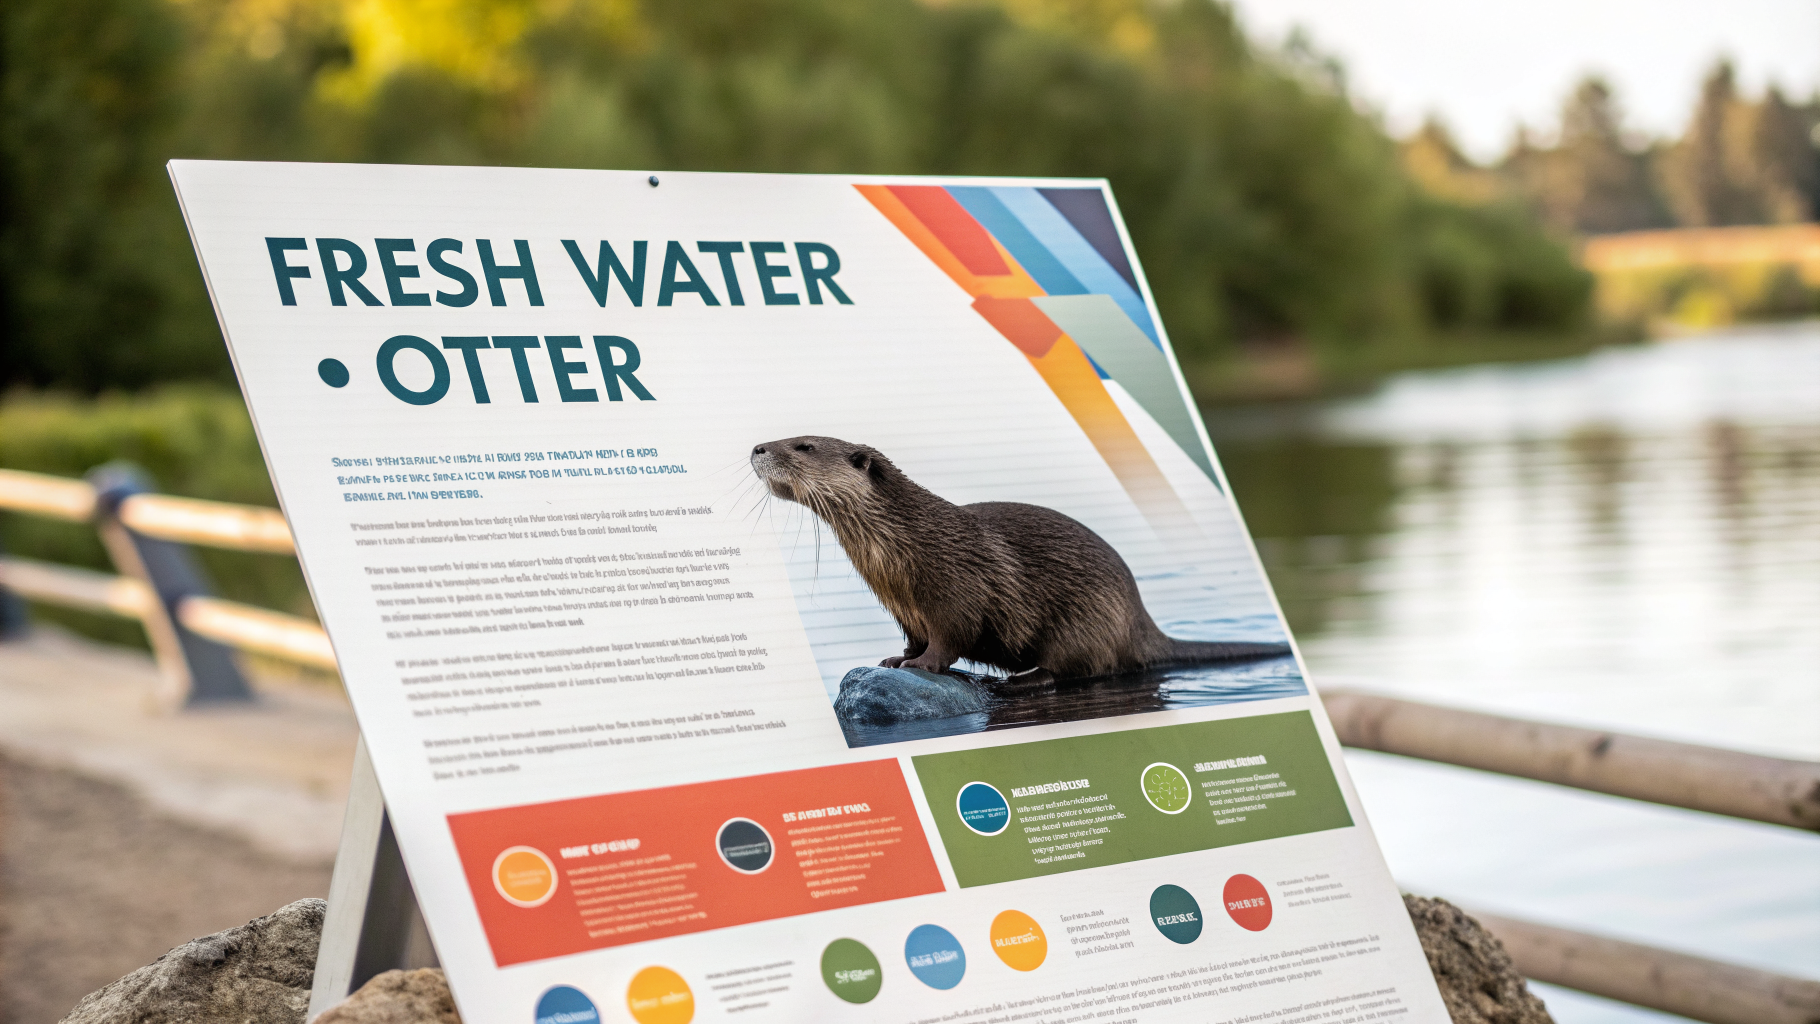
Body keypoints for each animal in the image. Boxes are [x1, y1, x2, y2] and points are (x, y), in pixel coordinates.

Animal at [750, 435, 1289, 680]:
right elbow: (913, 637)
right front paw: (896, 658)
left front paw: (921, 665)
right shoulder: (904, 608)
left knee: (1070, 668)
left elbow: (950, 639)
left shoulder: (956, 588)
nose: (758, 447)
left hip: (1087, 620)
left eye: (804, 444)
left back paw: (1024, 679)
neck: (906, 546)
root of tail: (1140, 620)